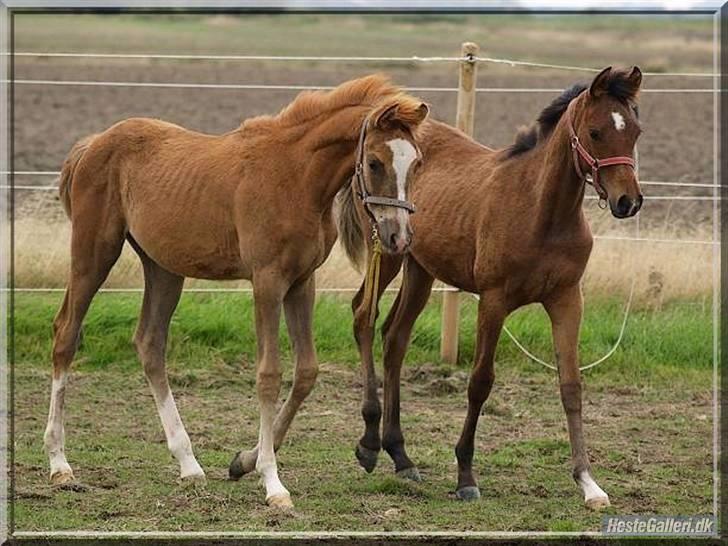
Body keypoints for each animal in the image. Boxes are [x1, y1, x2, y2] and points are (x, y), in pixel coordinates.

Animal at [45, 74, 430, 508]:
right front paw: (273, 483)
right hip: (94, 253)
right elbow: (269, 374)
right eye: (375, 162)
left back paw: (189, 465)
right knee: (66, 334)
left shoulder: (302, 282)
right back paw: (60, 465)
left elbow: (307, 372)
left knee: (149, 344)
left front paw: (244, 461)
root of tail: (93, 143)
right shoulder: (267, 281)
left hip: (163, 268)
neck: (296, 177)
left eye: (417, 163)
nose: (399, 237)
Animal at [336, 66, 644, 508]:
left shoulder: (567, 300)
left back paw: (401, 455)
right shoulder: (494, 301)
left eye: (635, 130)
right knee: (364, 315)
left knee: (395, 337)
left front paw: (589, 482)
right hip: (389, 250)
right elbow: (480, 382)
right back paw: (370, 445)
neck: (542, 213)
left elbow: (571, 385)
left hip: (420, 268)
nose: (628, 202)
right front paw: (465, 475)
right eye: (596, 131)